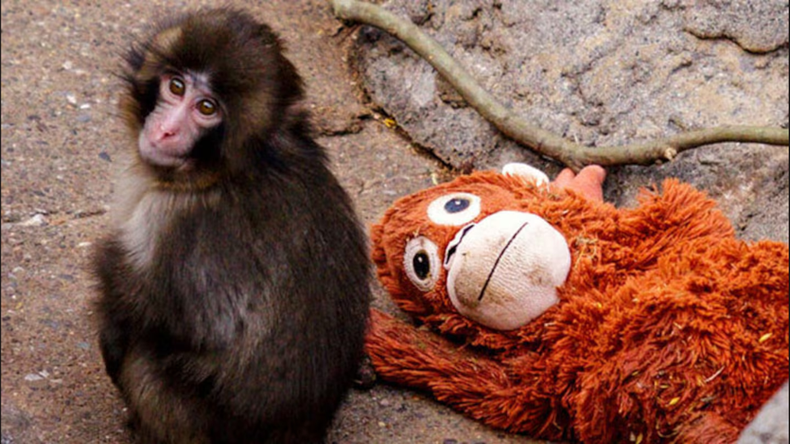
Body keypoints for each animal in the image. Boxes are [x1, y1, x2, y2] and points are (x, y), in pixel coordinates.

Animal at [91, 8, 371, 444]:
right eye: (176, 86)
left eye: (207, 108)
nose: (166, 130)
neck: (229, 171)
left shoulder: (174, 221)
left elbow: (186, 322)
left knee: (143, 358)